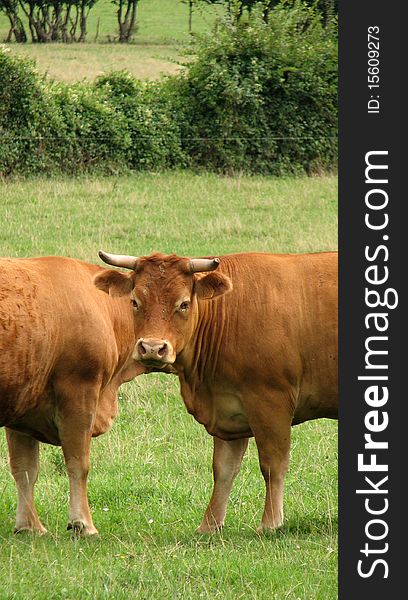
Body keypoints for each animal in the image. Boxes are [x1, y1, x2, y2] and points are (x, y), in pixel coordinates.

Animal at [0, 255, 147, 536]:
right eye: (137, 300)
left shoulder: (21, 404)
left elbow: (24, 469)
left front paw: (29, 526)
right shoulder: (80, 394)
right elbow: (79, 463)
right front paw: (82, 523)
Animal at [96, 251, 338, 532]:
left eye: (184, 304)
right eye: (135, 302)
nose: (152, 348)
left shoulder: (271, 403)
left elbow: (273, 464)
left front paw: (270, 523)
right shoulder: (229, 408)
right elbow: (223, 469)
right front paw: (210, 525)